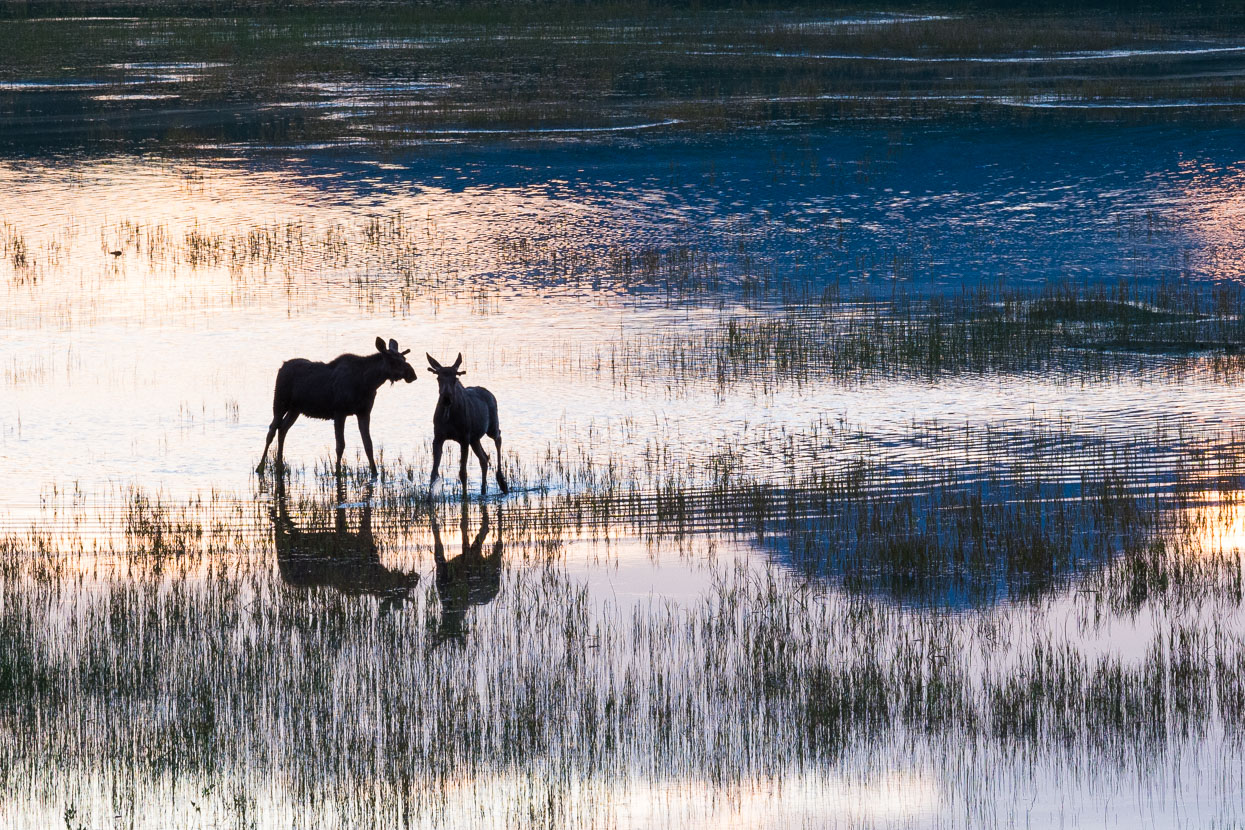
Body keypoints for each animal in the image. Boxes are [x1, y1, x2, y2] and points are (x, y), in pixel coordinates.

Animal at [257, 338, 418, 477]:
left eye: (404, 359)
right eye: (393, 360)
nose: (412, 374)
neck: (369, 383)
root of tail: (282, 366)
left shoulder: (364, 412)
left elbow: (368, 445)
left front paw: (374, 472)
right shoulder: (339, 412)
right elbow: (340, 445)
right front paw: (338, 472)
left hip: (295, 409)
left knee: (282, 429)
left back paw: (279, 465)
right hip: (280, 402)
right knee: (272, 430)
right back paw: (260, 467)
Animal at [428, 353, 505, 502]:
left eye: (455, 379)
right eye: (438, 378)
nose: (446, 398)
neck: (449, 415)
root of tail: (491, 394)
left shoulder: (464, 438)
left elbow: (463, 473)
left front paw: (464, 498)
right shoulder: (438, 438)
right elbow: (433, 472)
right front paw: (428, 499)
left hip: (491, 427)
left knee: (498, 437)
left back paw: (502, 481)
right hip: (475, 439)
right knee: (484, 459)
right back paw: (483, 491)